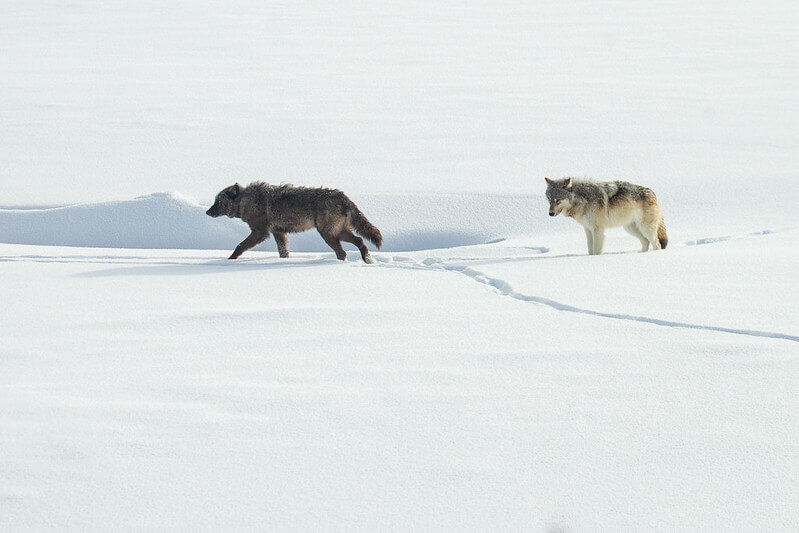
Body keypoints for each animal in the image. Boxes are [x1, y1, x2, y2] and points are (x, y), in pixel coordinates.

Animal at [206, 182, 382, 263]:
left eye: (218, 202)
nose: (207, 212)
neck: (246, 201)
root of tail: (343, 197)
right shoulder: (279, 233)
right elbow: (283, 252)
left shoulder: (260, 233)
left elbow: (240, 246)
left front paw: (229, 261)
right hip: (338, 232)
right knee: (359, 241)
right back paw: (367, 259)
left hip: (328, 234)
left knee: (343, 252)